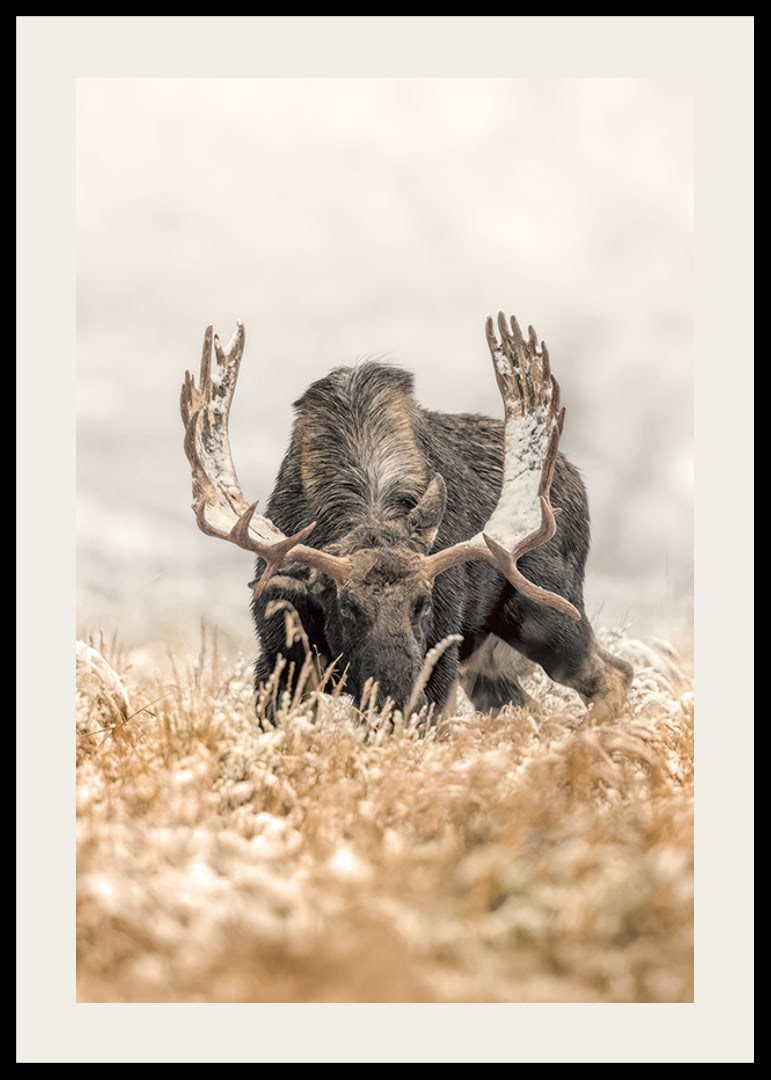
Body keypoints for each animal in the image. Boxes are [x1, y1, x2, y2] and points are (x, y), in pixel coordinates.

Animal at [181, 312, 633, 726]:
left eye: (423, 603)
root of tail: (575, 480)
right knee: (533, 708)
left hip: (547, 613)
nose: (398, 694)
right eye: (346, 607)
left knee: (616, 673)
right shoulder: (281, 656)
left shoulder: (441, 659)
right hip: (489, 663)